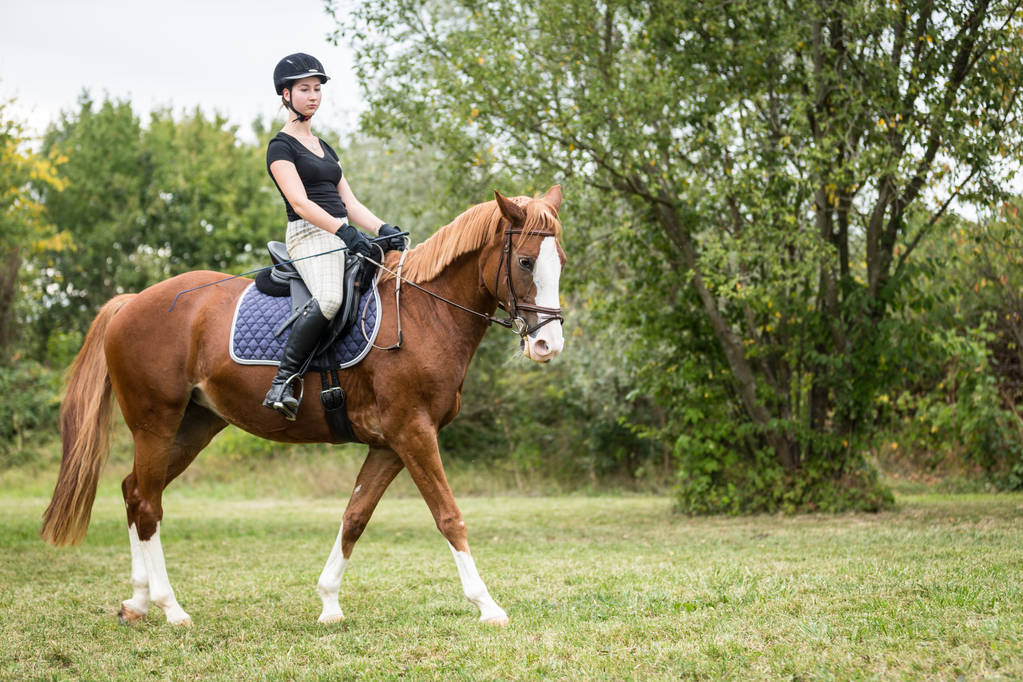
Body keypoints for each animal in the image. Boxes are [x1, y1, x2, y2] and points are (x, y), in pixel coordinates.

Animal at [39, 187, 568, 629]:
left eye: (558, 260)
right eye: (525, 262)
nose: (549, 346)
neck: (424, 314)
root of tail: (131, 304)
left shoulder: (391, 444)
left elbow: (355, 517)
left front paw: (329, 602)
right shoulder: (413, 433)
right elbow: (448, 515)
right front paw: (488, 606)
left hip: (193, 427)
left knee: (133, 492)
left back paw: (138, 601)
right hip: (155, 424)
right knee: (148, 504)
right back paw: (171, 609)